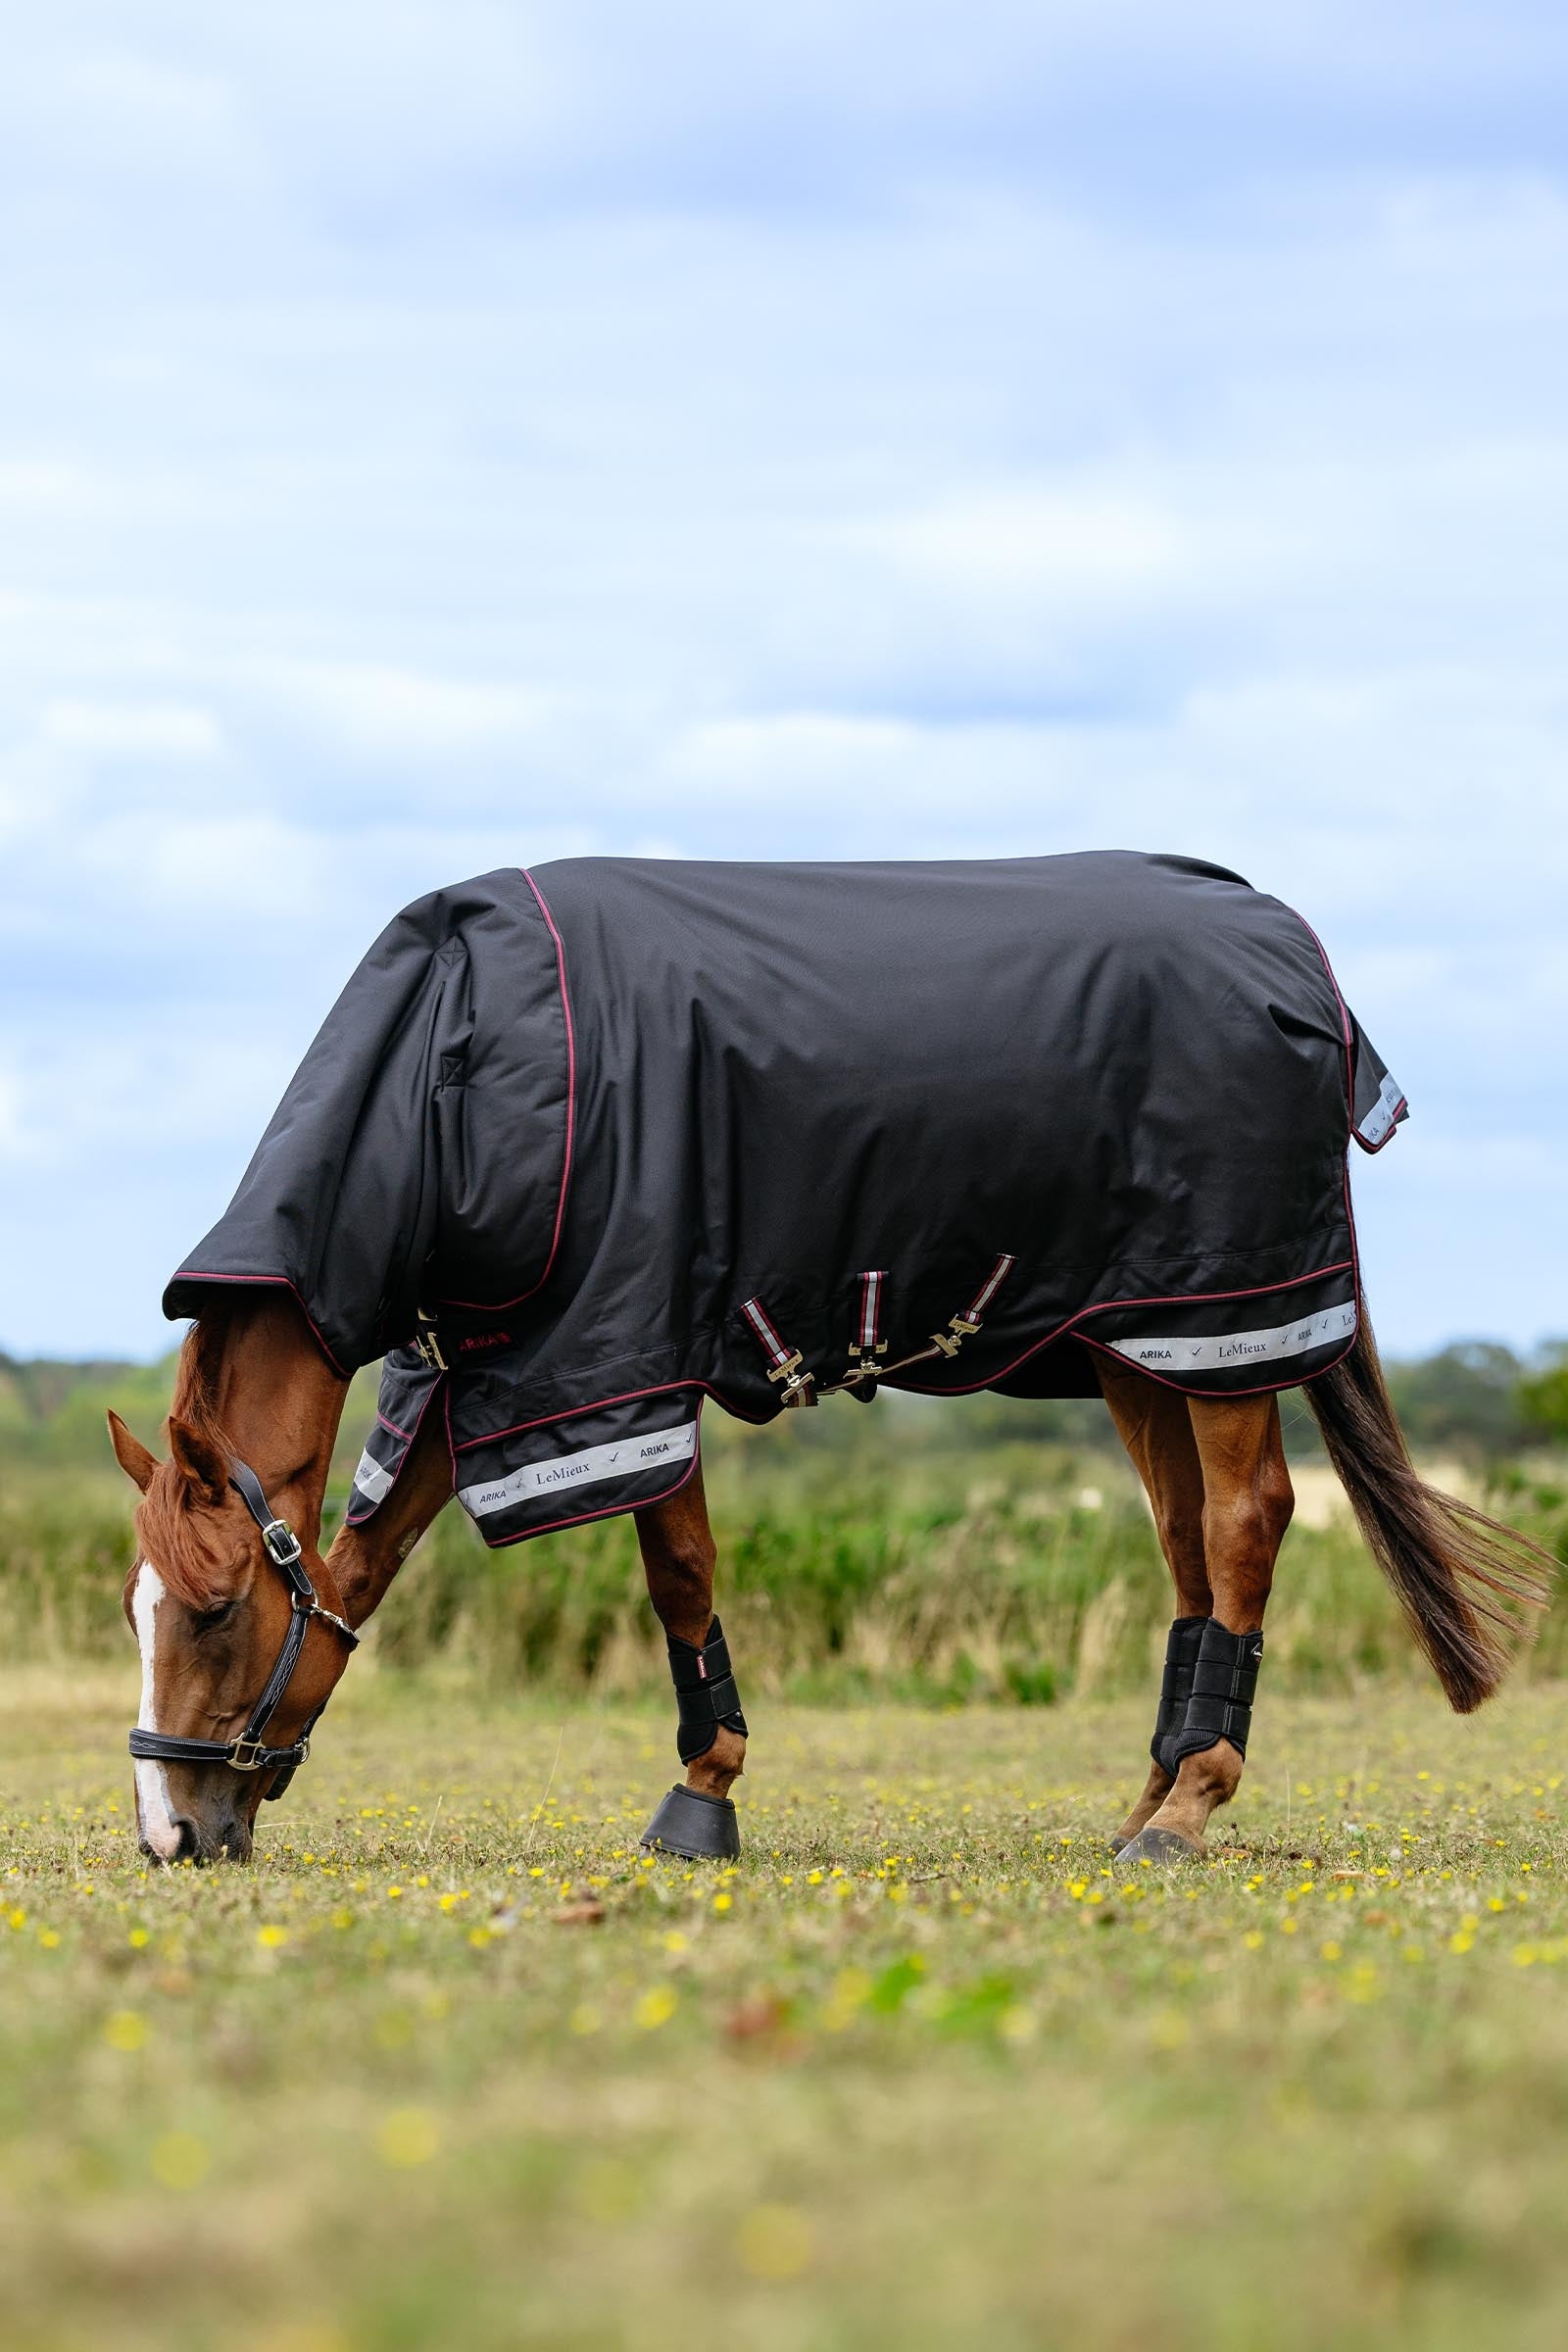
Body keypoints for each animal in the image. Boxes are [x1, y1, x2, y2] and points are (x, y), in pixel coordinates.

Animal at [107, 851, 1553, 1864]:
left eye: (217, 1609)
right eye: (137, 1607)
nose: (170, 1833)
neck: (462, 1076)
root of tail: (1291, 949)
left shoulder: (623, 1359)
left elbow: (678, 1572)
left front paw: (701, 1798)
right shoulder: (485, 1367)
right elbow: (367, 1561)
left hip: (1219, 1327)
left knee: (1248, 1523)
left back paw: (1186, 1811)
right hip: (1139, 1344)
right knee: (1190, 1543)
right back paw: (1146, 1797)